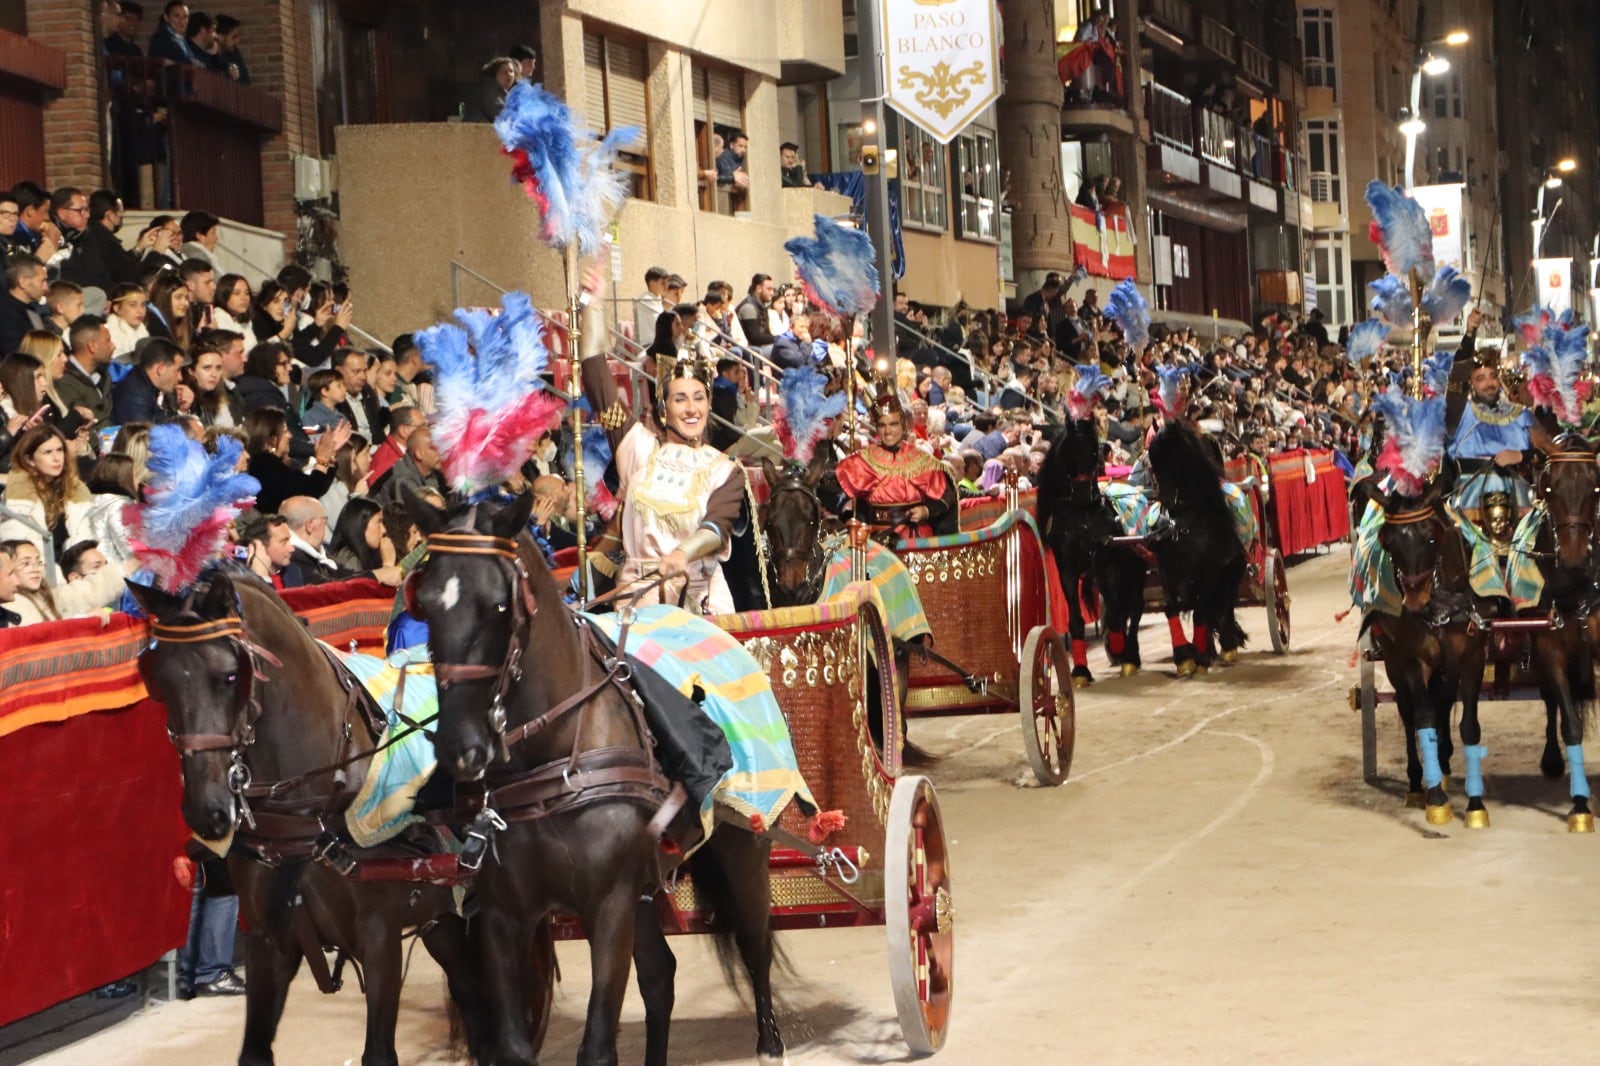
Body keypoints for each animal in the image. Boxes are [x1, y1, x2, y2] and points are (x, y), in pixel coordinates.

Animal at [128, 563, 492, 1062]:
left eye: (230, 676)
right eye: (158, 681)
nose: (207, 810)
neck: (312, 807)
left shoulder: (380, 939)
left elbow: (379, 1052)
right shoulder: (268, 941)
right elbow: (254, 1050)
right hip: (445, 918)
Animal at [406, 492, 787, 1062]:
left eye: (499, 604)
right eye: (426, 604)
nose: (461, 746)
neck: (553, 765)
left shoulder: (608, 904)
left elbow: (598, 1044)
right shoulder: (502, 914)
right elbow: (514, 1044)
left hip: (743, 847)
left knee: (755, 940)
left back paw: (769, 1039)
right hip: (645, 885)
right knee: (661, 976)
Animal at [1036, 416, 1152, 681]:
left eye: (1094, 449)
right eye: (1069, 449)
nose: (1082, 493)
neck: (1081, 519)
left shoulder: (1107, 563)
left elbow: (1117, 613)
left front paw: (1119, 649)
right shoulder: (1067, 570)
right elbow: (1076, 620)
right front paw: (1080, 670)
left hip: (1134, 567)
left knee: (1134, 607)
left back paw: (1130, 655)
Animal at [1152, 416, 1248, 672]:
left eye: (1176, 458)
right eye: (1152, 460)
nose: (1168, 501)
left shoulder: (1209, 572)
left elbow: (1201, 613)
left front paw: (1200, 655)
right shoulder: (1169, 570)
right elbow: (1171, 607)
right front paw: (1184, 656)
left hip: (1229, 572)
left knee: (1222, 606)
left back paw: (1226, 645)